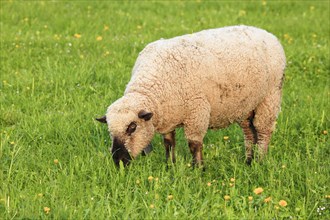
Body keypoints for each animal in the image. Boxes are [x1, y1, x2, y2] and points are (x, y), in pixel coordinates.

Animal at [96, 25, 286, 167]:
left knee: (263, 131)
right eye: (109, 129)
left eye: (132, 127)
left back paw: (259, 161)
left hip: (270, 96)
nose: (118, 161)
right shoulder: (168, 116)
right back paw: (248, 161)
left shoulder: (197, 112)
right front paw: (170, 166)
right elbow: (168, 143)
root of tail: (266, 33)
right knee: (249, 132)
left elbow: (194, 145)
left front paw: (198, 169)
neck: (152, 87)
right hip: (246, 105)